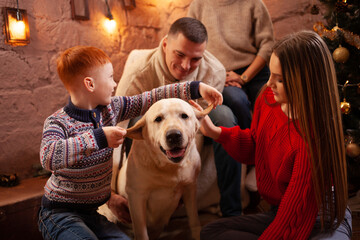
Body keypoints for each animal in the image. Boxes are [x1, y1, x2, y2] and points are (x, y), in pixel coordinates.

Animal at [119, 98, 212, 239]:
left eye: (184, 115)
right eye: (158, 119)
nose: (173, 135)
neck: (169, 168)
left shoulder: (190, 187)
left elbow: (194, 220)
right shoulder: (136, 195)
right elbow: (141, 232)